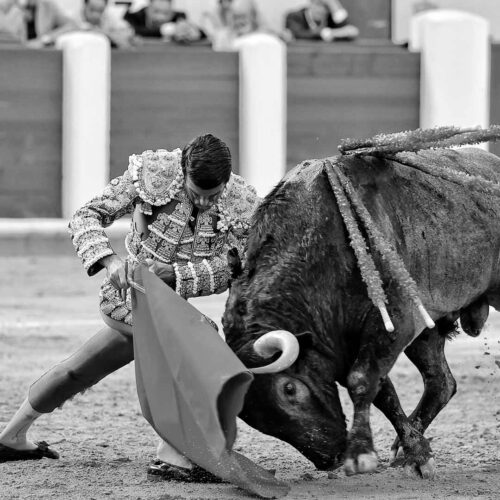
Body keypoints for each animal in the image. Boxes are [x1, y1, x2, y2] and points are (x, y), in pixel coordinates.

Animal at [222, 127, 500, 478]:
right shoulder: (342, 341)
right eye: (249, 414)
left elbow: (362, 380)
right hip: (428, 329)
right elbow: (382, 392)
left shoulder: (394, 322)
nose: (329, 458)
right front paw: (417, 453)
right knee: (441, 382)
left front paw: (362, 455)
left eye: (289, 389)